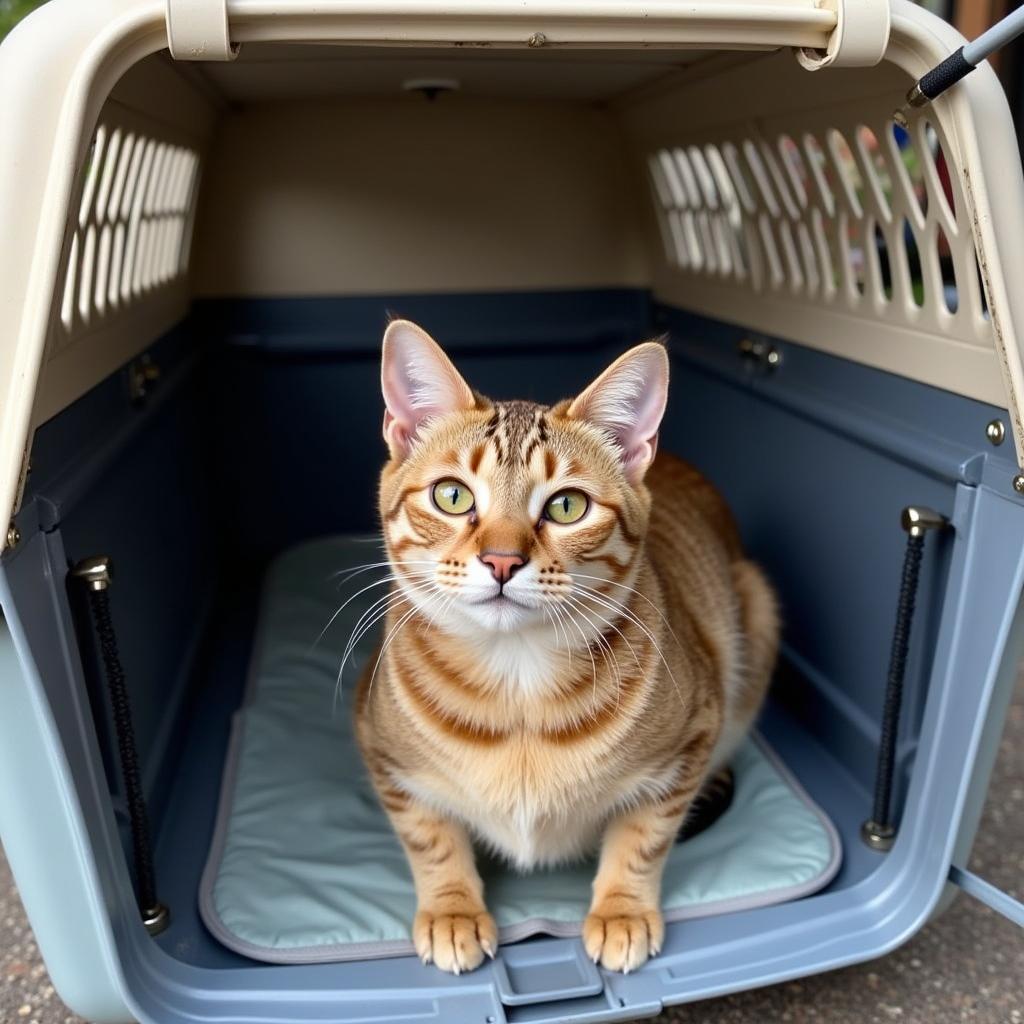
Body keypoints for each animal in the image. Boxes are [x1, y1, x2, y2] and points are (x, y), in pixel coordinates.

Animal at [356, 319, 778, 974]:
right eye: (452, 496)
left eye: (567, 505)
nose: (502, 560)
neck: (517, 682)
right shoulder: (383, 752)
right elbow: (429, 836)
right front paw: (452, 908)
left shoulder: (693, 739)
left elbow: (644, 835)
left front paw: (622, 910)